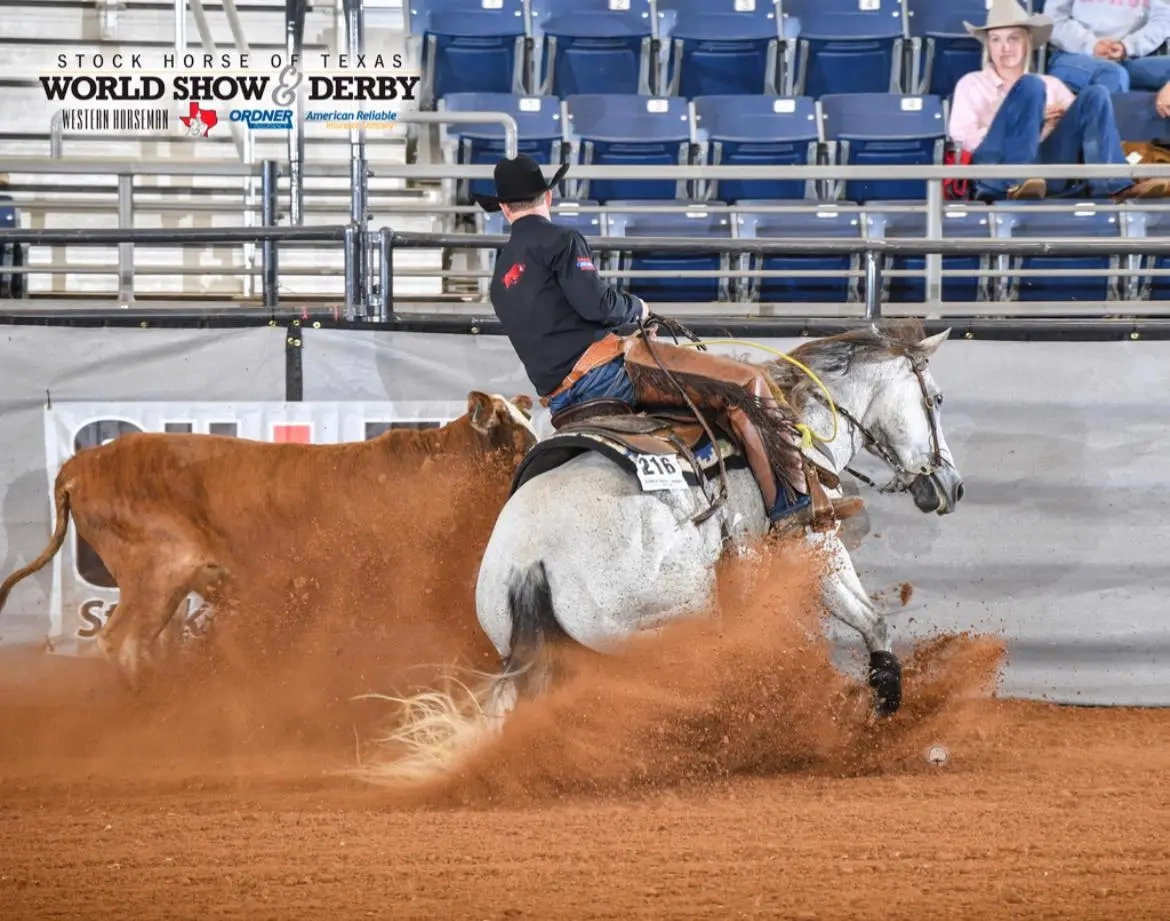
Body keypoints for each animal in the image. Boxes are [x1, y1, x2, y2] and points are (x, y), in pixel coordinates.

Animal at [360, 321, 964, 781]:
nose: (953, 486)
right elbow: (871, 621)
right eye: (935, 399)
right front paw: (881, 711)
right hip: (676, 620)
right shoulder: (816, 550)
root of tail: (530, 560)